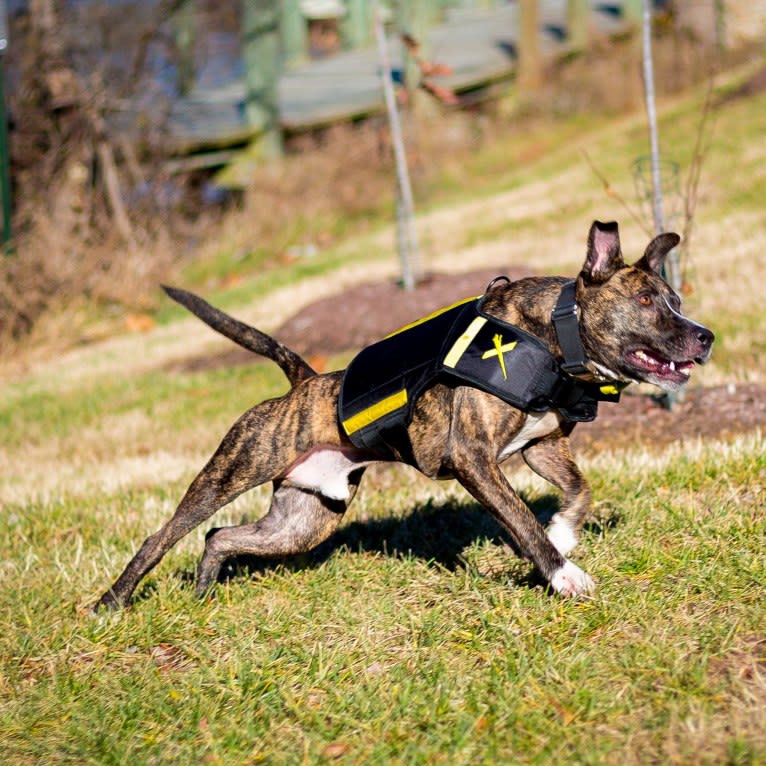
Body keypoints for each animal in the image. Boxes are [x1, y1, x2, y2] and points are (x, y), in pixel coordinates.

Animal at [96, 220, 712, 612]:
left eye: (676, 299)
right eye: (649, 302)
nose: (705, 336)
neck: (556, 339)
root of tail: (303, 383)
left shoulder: (542, 447)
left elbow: (579, 490)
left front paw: (563, 533)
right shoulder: (473, 458)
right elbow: (519, 518)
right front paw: (562, 573)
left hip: (304, 518)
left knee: (220, 536)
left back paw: (204, 592)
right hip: (233, 469)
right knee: (164, 535)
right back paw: (112, 602)